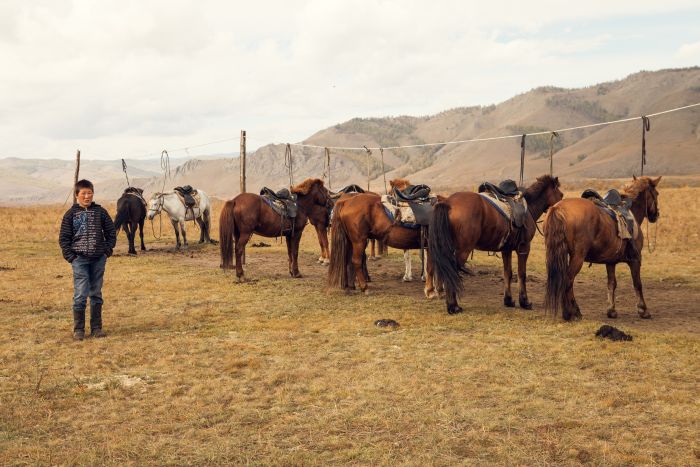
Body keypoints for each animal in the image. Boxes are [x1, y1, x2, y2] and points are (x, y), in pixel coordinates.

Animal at [426, 176, 564, 314]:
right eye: (561, 195)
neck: (528, 208)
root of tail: (448, 203)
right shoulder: (524, 248)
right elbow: (522, 274)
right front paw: (524, 301)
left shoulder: (506, 250)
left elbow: (508, 273)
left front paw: (508, 300)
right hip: (462, 251)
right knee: (452, 273)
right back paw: (453, 306)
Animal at [540, 176, 660, 322]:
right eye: (656, 194)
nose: (656, 214)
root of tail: (557, 208)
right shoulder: (635, 260)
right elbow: (637, 283)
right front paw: (643, 310)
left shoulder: (611, 262)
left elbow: (612, 284)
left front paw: (611, 311)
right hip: (578, 257)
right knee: (568, 280)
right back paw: (572, 312)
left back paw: (569, 312)